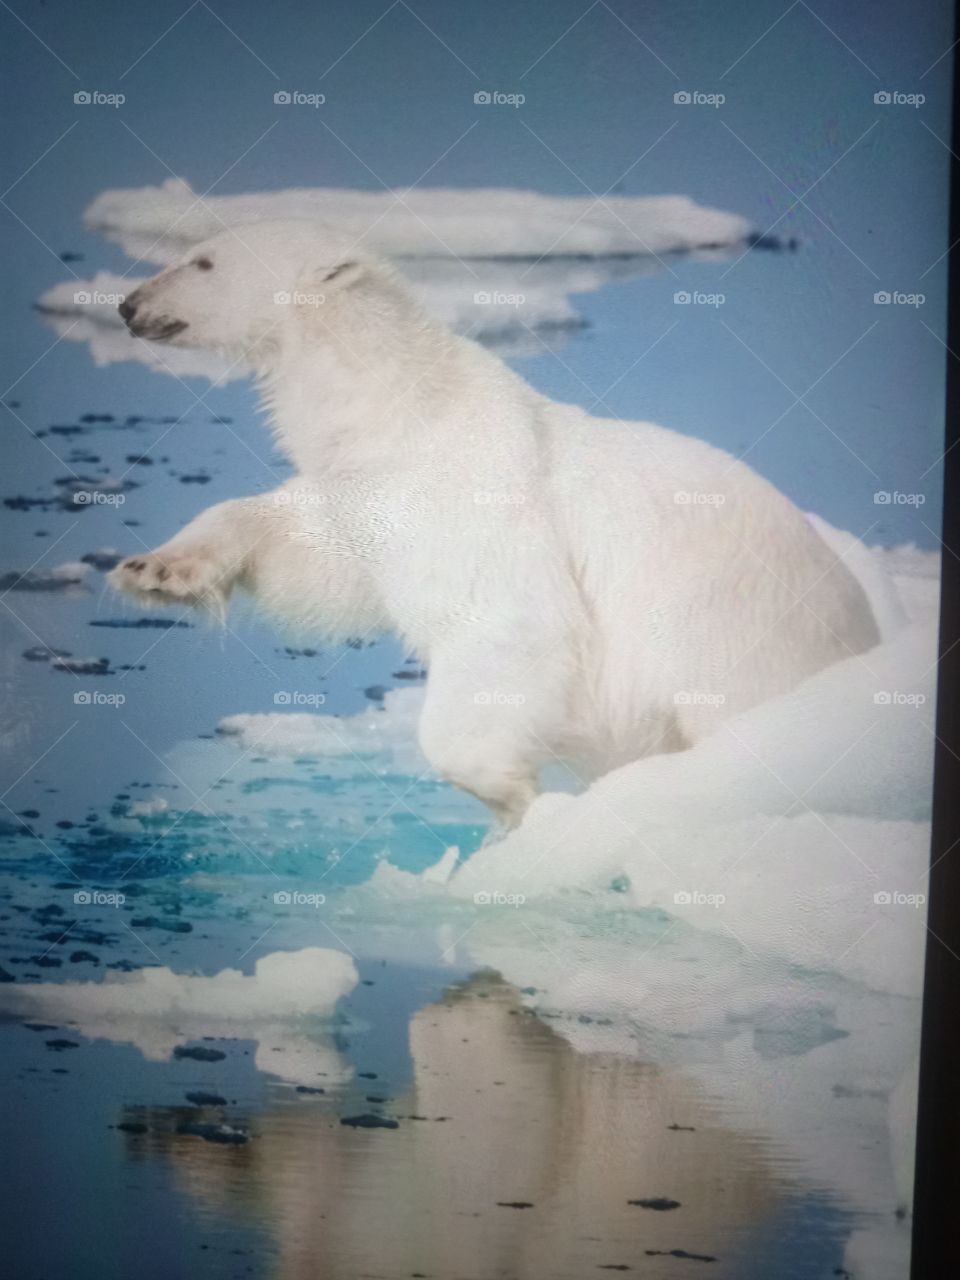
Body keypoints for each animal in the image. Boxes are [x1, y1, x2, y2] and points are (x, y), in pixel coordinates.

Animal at [110, 219, 879, 826]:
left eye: (204, 262)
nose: (127, 304)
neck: (409, 410)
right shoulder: (373, 490)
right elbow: (319, 555)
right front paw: (154, 569)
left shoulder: (481, 506)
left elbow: (507, 625)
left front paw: (509, 799)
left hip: (742, 636)